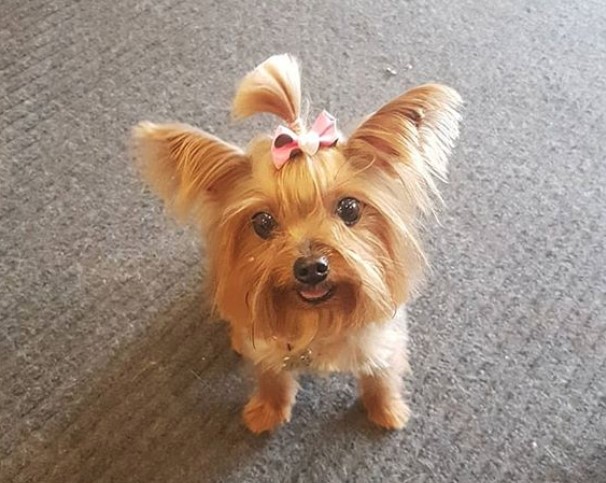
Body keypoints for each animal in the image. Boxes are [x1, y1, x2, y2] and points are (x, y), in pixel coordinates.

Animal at [133, 54, 464, 432]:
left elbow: (381, 376)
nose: (311, 268)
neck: (317, 319)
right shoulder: (268, 349)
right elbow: (272, 378)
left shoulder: (381, 338)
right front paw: (266, 411)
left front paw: (387, 410)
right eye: (262, 222)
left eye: (349, 208)